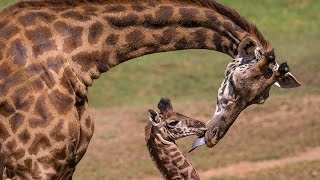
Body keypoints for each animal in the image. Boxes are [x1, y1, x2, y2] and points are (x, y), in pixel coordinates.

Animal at [0, 0, 300, 179]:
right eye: (235, 82)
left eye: (261, 98)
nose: (211, 136)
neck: (76, 60)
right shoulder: (33, 166)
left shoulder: (65, 165)